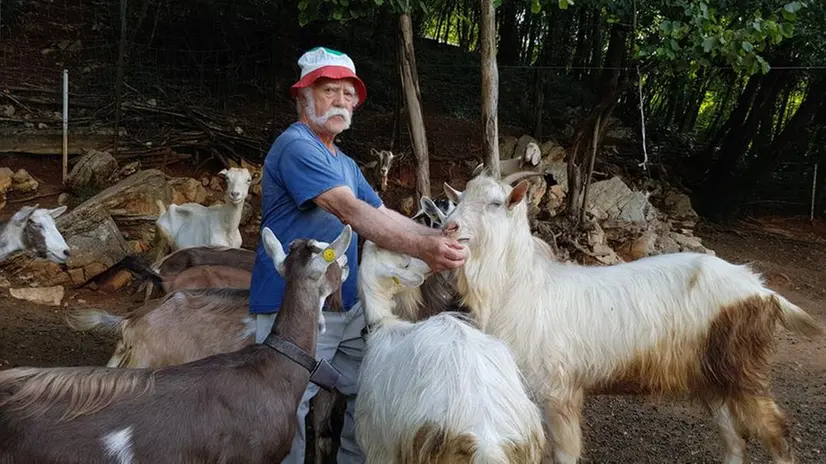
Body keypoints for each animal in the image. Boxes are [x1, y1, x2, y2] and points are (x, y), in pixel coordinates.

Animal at [440, 170, 820, 464]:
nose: (448, 227)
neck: (523, 290)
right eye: (458, 199)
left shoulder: (559, 389)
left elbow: (564, 452)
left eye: (495, 203)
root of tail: (762, 289)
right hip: (712, 375)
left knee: (775, 432)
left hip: (743, 370)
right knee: (733, 438)